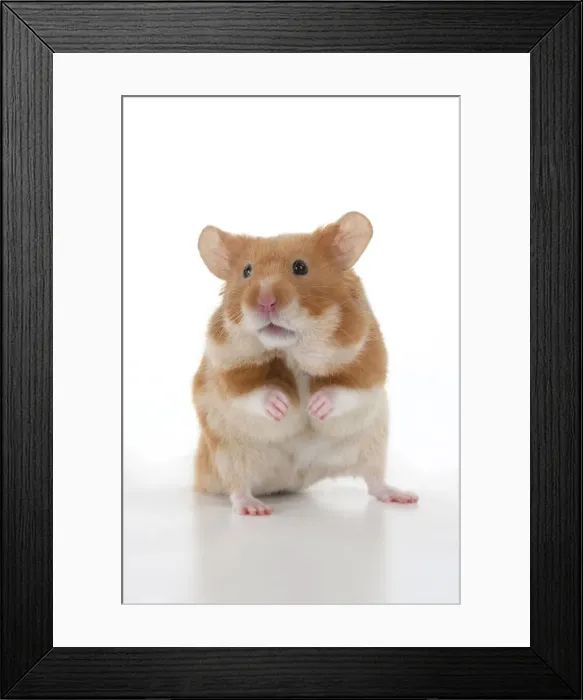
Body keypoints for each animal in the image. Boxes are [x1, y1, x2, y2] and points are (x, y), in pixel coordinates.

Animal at [192, 212, 419, 515]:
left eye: (300, 267)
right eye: (247, 271)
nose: (265, 302)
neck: (292, 349)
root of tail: (292, 479)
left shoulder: (368, 357)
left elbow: (349, 388)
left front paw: (315, 406)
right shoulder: (224, 366)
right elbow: (248, 391)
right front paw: (283, 406)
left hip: (372, 443)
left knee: (374, 482)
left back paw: (403, 496)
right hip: (228, 454)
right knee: (238, 488)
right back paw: (255, 508)